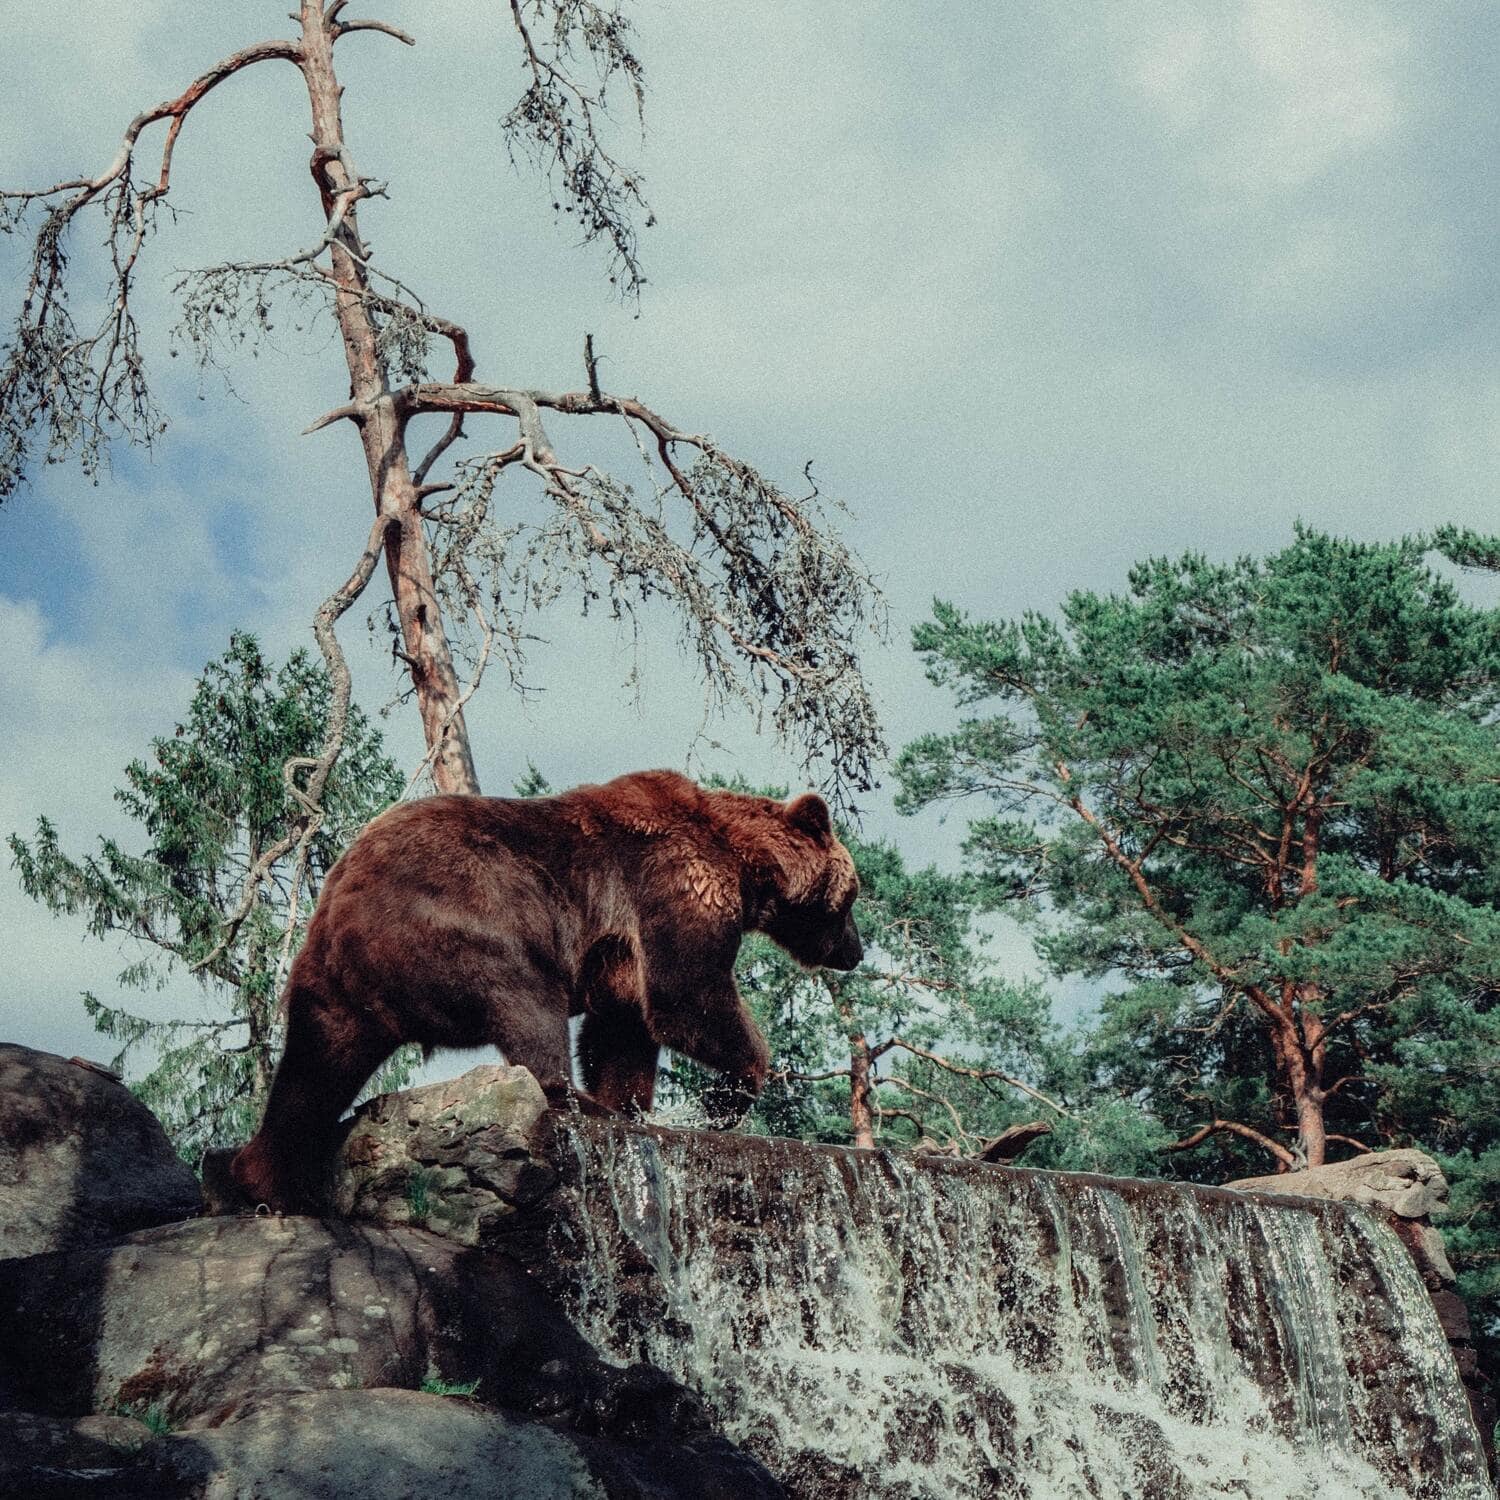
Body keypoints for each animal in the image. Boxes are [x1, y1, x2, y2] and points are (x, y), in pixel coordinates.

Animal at [234, 768, 870, 1212]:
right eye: (852, 897)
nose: (856, 952)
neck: (745, 864)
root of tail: (341, 905)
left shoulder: (620, 951)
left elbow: (622, 1030)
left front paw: (632, 1104)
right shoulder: (675, 887)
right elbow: (686, 997)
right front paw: (727, 1094)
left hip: (332, 985)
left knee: (312, 1070)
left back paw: (266, 1177)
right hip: (472, 910)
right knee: (525, 1001)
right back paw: (572, 1099)